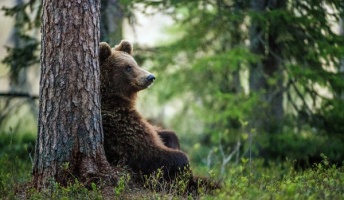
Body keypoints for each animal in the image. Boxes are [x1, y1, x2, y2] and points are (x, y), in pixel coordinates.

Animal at [99, 39, 194, 185]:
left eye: (135, 63)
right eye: (127, 67)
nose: (150, 77)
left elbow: (164, 133)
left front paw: (173, 141)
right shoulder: (120, 128)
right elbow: (148, 153)